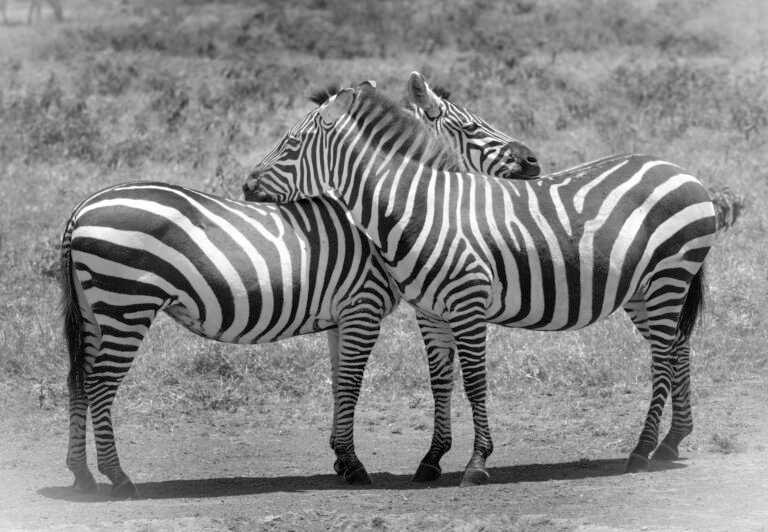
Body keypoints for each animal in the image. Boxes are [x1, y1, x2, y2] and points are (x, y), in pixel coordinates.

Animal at [61, 86, 541, 497]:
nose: (533, 161)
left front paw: (341, 460)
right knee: (100, 384)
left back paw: (82, 476)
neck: (380, 220)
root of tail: (82, 208)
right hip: (126, 304)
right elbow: (351, 383)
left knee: (78, 381)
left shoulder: (341, 316)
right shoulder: (362, 305)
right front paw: (354, 466)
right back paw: (118, 478)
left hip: (94, 311)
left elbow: (338, 383)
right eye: (471, 127)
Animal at [243, 82, 718, 487]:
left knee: (662, 358)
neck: (422, 207)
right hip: (643, 290)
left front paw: (476, 462)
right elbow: (440, 381)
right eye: (471, 126)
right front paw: (432, 459)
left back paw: (642, 450)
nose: (246, 184)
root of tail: (679, 169)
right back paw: (671, 442)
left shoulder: (468, 304)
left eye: (290, 144)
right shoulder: (430, 311)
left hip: (669, 273)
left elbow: (473, 381)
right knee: (678, 347)